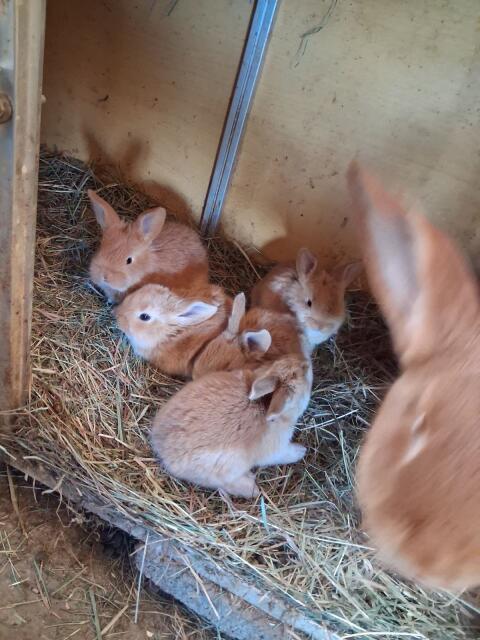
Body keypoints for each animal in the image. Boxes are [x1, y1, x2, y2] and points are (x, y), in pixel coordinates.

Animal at [150, 354, 311, 497]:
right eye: (302, 372)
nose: (305, 361)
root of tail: (160, 448)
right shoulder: (276, 449)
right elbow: (285, 454)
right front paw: (301, 451)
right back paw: (252, 489)